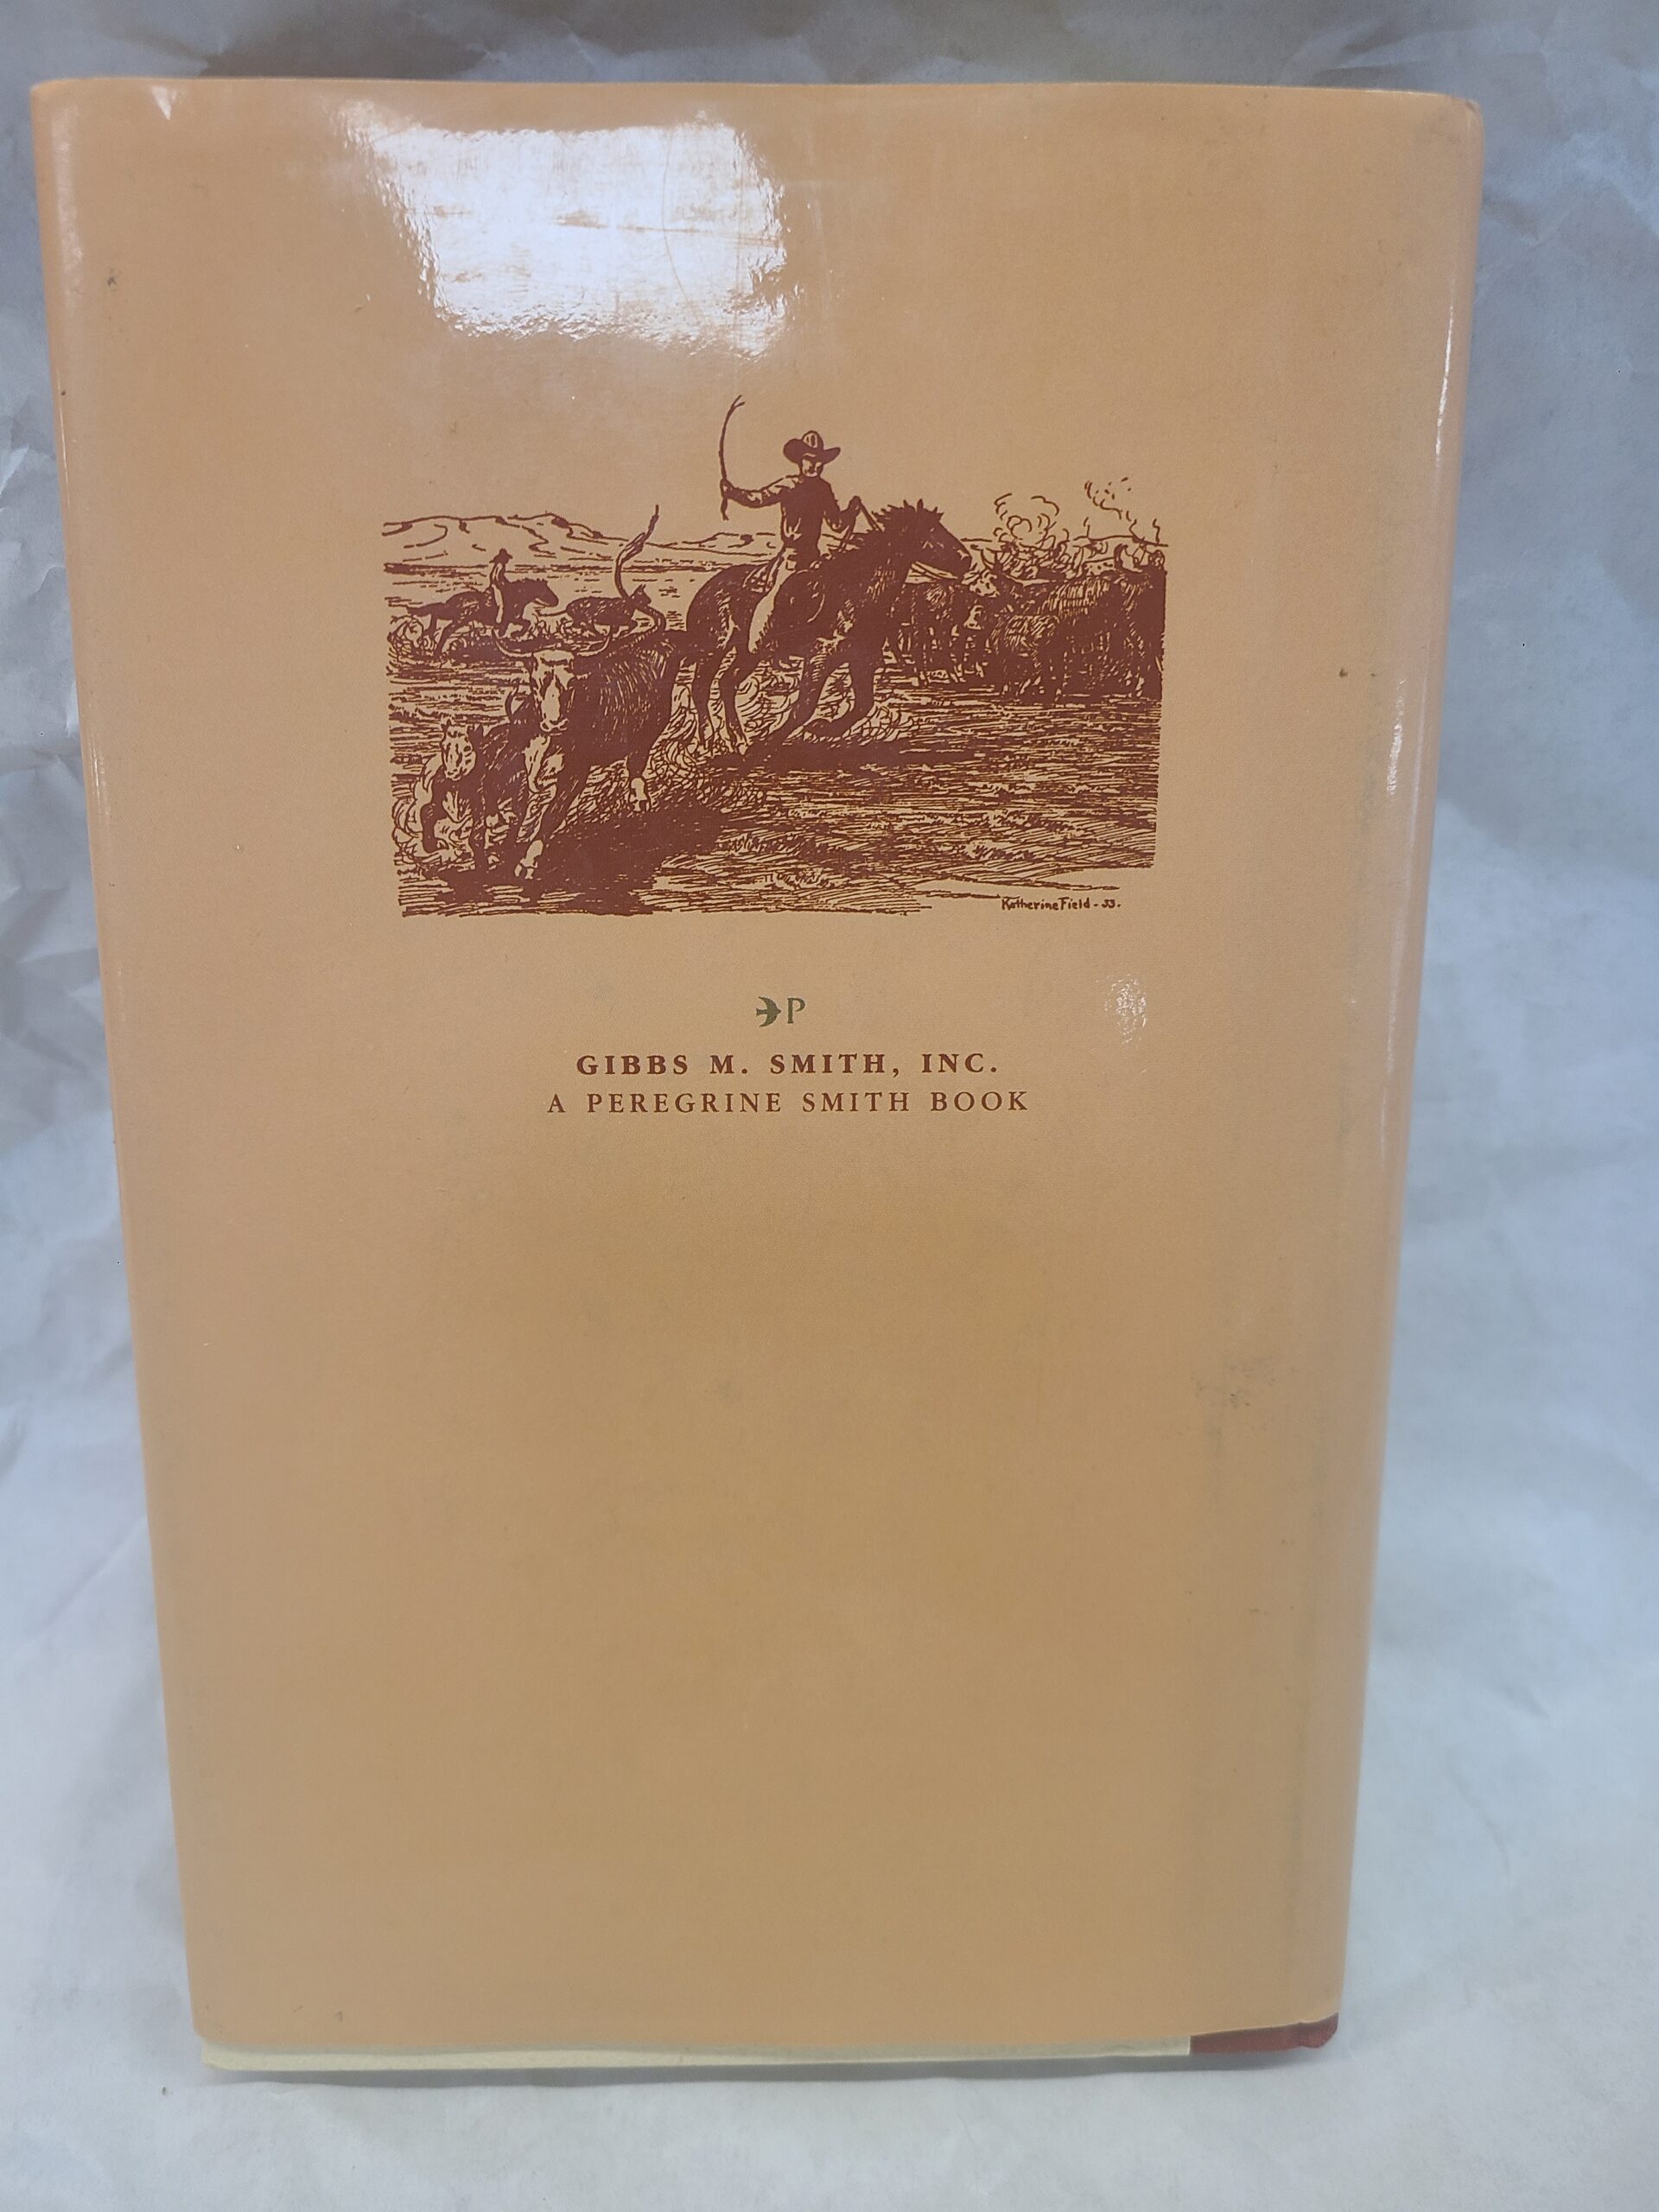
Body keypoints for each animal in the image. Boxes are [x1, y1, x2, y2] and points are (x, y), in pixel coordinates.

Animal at [684, 502, 972, 755]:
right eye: (930, 530)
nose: (966, 560)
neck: (855, 591)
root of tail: (707, 590)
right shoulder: (820, 657)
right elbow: (805, 706)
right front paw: (768, 744)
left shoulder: (860, 659)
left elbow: (863, 704)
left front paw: (822, 728)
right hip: (715, 649)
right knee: (701, 687)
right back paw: (710, 740)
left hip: (748, 653)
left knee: (726, 683)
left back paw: (738, 740)